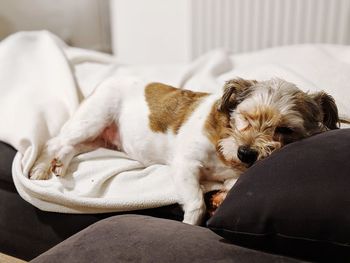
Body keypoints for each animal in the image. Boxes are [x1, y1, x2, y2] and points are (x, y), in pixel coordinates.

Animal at [29, 77, 340, 226]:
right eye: (245, 118)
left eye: (286, 130)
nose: (247, 153)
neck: (225, 143)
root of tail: (104, 82)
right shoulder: (186, 165)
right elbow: (196, 203)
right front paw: (192, 222)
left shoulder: (231, 176)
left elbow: (229, 186)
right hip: (93, 119)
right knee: (54, 142)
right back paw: (41, 168)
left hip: (97, 139)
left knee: (68, 147)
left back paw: (59, 164)